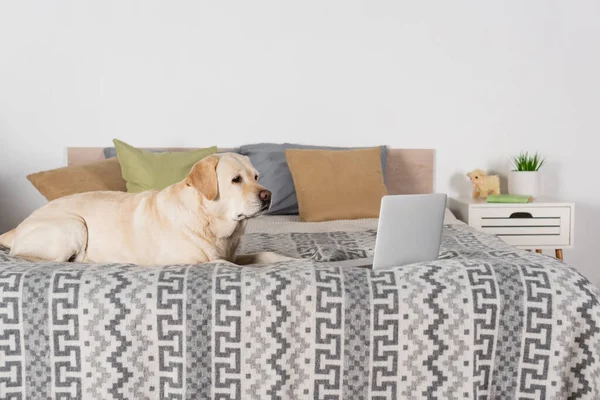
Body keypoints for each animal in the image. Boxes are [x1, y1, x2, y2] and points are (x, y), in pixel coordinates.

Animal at [0, 153, 292, 266]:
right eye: (236, 180)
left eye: (256, 177)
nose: (268, 195)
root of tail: (17, 227)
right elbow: (229, 265)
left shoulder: (233, 254)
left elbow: (264, 255)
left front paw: (291, 260)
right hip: (73, 225)